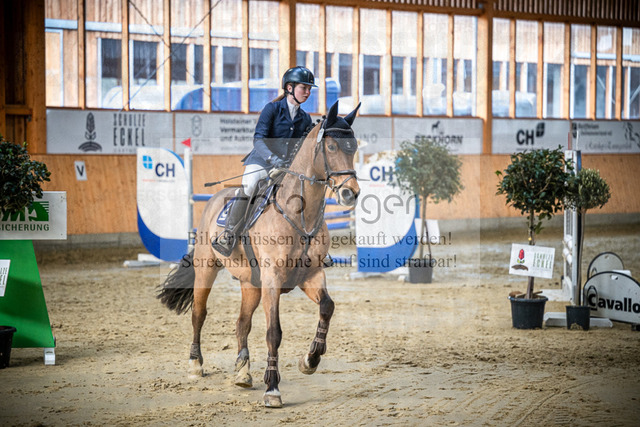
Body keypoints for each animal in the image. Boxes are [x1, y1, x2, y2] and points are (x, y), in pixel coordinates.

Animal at [158, 100, 361, 408]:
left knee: (242, 324)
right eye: (332, 147)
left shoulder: (310, 275)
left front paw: (310, 360)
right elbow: (273, 332)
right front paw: (273, 389)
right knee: (199, 313)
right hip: (207, 268)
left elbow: (327, 307)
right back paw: (195, 364)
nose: (351, 194)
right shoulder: (272, 279)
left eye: (355, 147)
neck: (299, 213)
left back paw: (243, 372)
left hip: (250, 283)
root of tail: (214, 201)